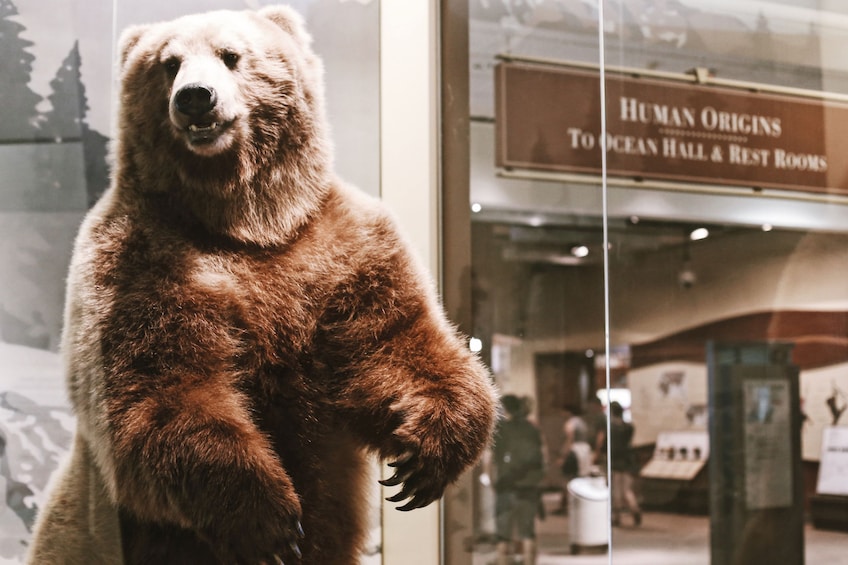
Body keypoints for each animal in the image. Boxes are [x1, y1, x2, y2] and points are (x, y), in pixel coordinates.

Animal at [28, 5, 496, 564]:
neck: (247, 222)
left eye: (231, 54)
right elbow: (161, 383)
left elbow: (393, 340)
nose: (195, 97)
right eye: (169, 63)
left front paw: (423, 458)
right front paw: (268, 520)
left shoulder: (344, 248)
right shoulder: (136, 262)